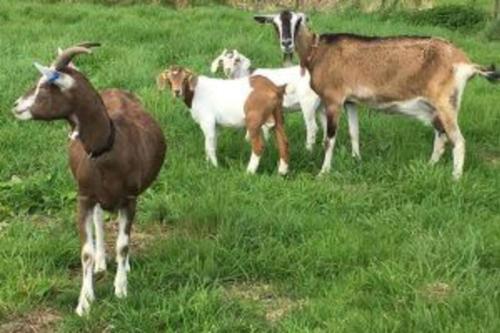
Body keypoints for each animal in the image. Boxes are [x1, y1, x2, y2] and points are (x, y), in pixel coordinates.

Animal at [156, 65, 290, 174]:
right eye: (169, 80)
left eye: (184, 79)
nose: (177, 91)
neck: (196, 92)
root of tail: (275, 89)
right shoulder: (216, 125)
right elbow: (212, 143)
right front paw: (208, 164)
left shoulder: (207, 121)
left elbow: (209, 145)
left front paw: (214, 167)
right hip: (278, 114)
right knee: (283, 141)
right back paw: (282, 172)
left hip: (254, 120)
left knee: (258, 146)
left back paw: (249, 172)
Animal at [210, 48, 360, 155]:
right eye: (222, 61)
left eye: (236, 60)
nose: (228, 70)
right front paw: (250, 140)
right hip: (321, 105)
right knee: (325, 125)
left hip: (308, 103)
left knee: (312, 127)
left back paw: (308, 150)